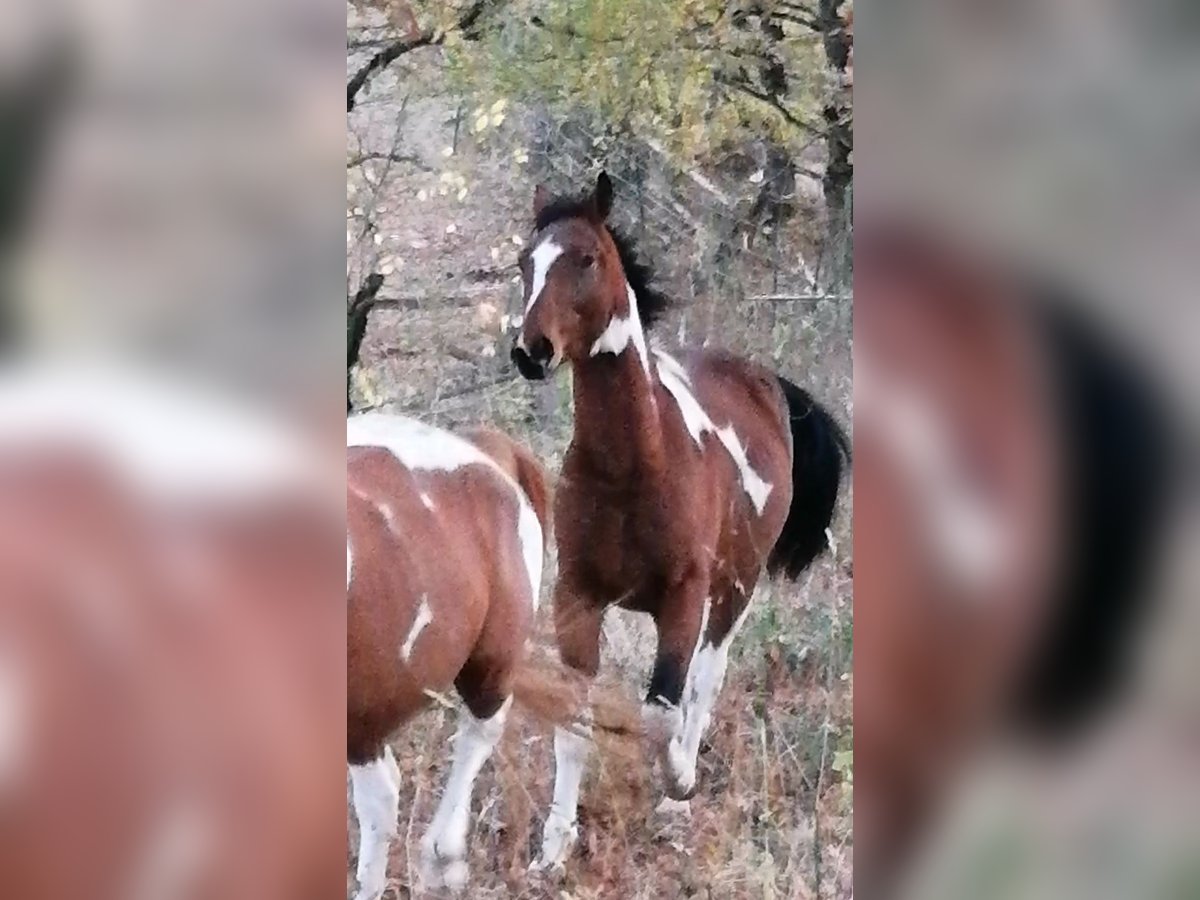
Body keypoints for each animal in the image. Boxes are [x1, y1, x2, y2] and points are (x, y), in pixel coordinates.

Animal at [511, 172, 849, 868]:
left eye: (587, 258)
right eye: (525, 263)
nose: (531, 351)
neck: (634, 467)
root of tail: (765, 380)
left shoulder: (683, 598)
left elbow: (663, 711)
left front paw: (676, 782)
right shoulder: (577, 597)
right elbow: (573, 717)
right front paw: (553, 847)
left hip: (734, 591)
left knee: (705, 679)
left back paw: (680, 784)